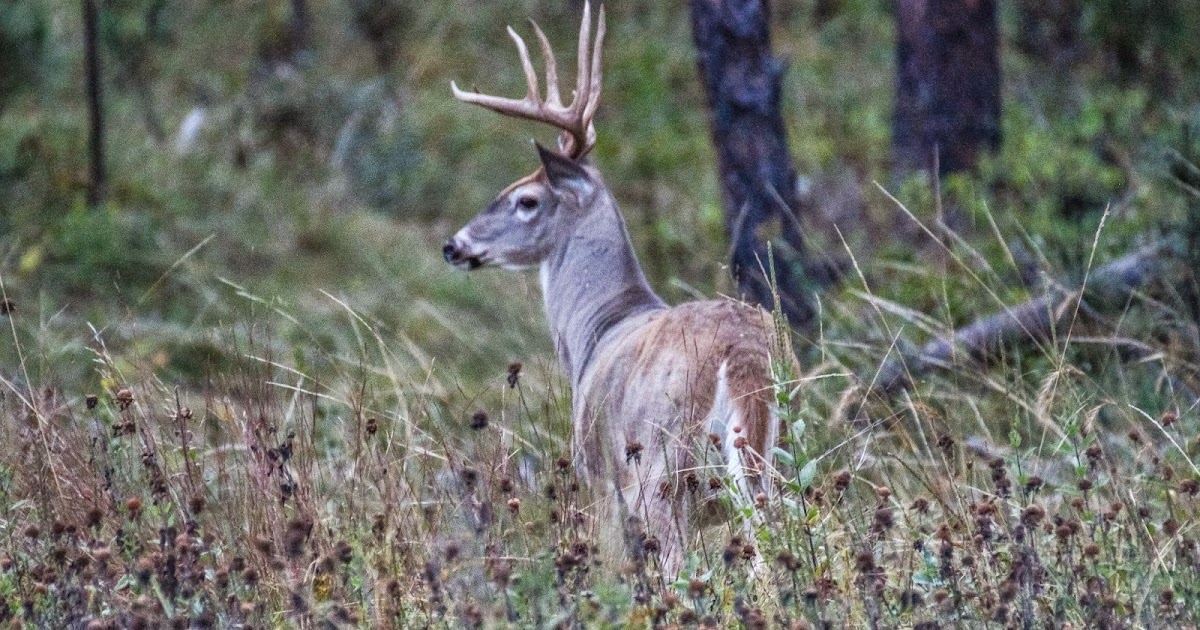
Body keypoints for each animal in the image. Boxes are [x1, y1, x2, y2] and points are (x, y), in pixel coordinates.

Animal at [442, 2, 795, 577]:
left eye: (526, 200)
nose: (453, 245)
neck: (598, 328)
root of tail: (739, 349)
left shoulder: (599, 481)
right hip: (778, 458)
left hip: (660, 467)